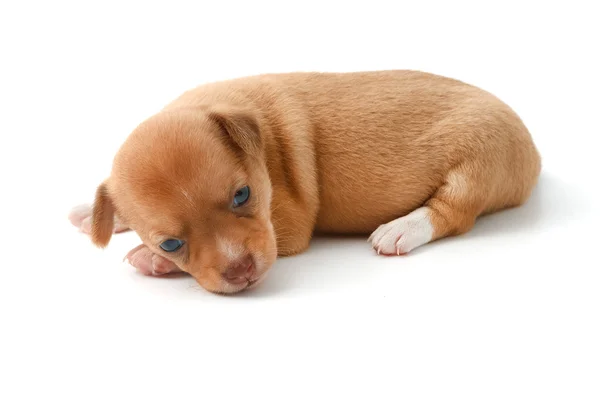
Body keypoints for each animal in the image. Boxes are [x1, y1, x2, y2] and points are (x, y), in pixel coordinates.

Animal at [68, 69, 540, 294]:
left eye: (242, 195)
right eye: (170, 241)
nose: (241, 271)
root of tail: (533, 154)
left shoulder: (286, 225)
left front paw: (148, 259)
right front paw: (96, 214)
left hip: (479, 160)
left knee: (453, 212)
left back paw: (401, 229)